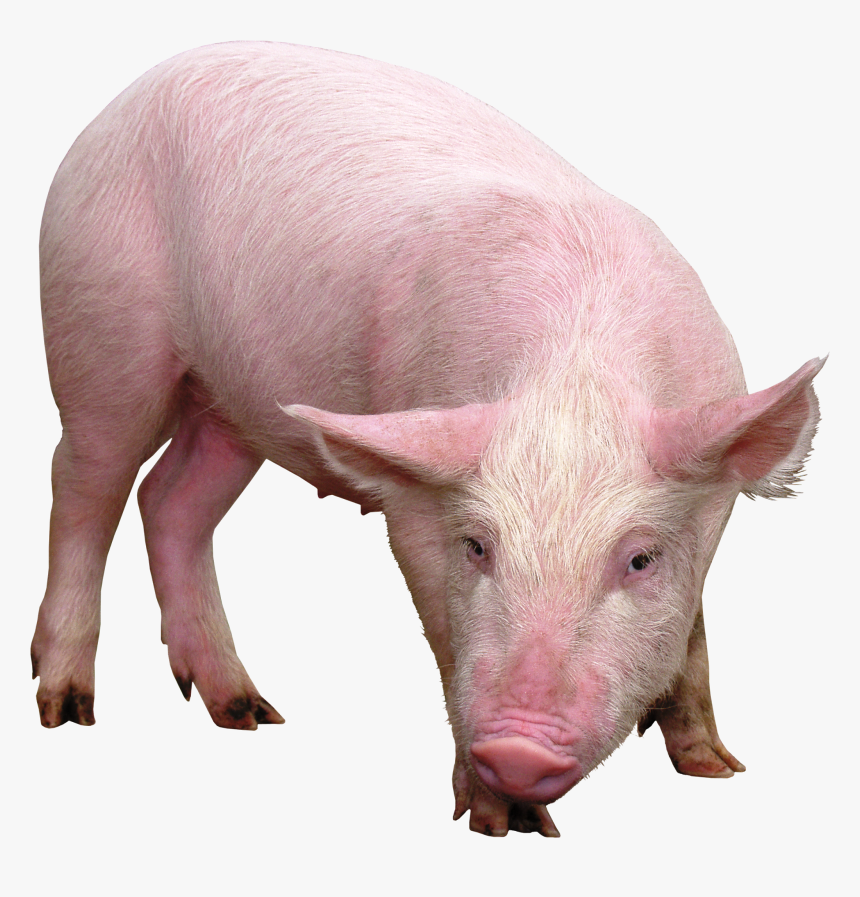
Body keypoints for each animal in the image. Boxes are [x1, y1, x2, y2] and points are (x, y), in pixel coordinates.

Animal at [32, 42, 823, 837]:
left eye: (640, 559)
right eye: (476, 546)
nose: (519, 750)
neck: (574, 380)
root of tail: (123, 100)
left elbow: (695, 629)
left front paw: (718, 768)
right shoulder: (413, 499)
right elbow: (444, 633)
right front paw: (507, 825)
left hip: (230, 403)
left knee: (171, 499)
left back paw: (248, 712)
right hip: (99, 329)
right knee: (84, 482)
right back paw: (66, 708)